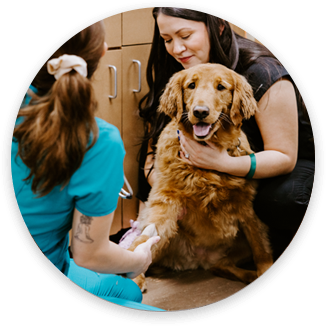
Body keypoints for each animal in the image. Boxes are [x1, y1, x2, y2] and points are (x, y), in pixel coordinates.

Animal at [129, 63, 274, 290]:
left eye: (221, 87)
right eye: (191, 85)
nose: (200, 112)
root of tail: (198, 260)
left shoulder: (247, 206)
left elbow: (261, 248)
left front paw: (264, 270)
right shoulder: (166, 201)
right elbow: (144, 238)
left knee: (223, 264)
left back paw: (249, 275)